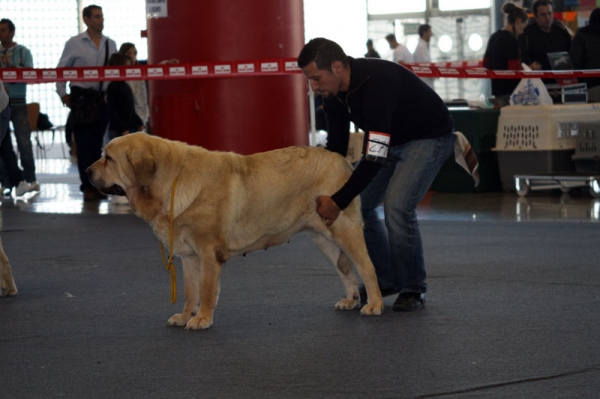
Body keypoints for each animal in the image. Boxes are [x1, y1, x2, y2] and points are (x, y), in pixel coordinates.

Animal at [86, 133, 382, 330]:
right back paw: (351, 300)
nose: (87, 172)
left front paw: (202, 319)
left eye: (108, 158)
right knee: (344, 268)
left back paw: (374, 304)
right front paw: (185, 316)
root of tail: (343, 161)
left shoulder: (208, 253)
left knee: (366, 266)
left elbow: (206, 290)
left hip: (344, 230)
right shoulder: (189, 257)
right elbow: (190, 291)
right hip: (322, 237)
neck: (170, 181)